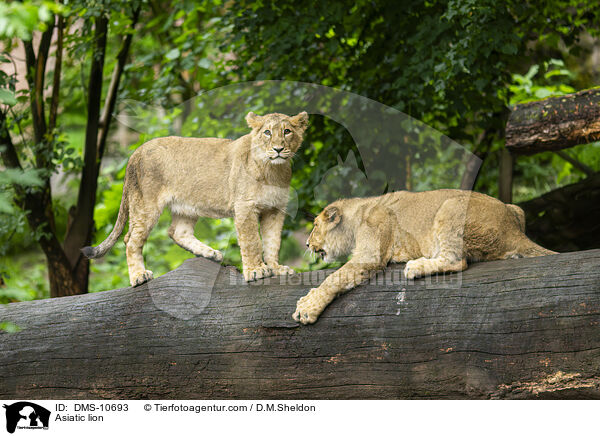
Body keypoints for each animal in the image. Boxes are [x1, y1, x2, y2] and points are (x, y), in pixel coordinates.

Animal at [296, 190, 556, 324]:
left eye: (315, 226)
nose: (307, 244)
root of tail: (514, 232)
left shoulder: (370, 255)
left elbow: (334, 278)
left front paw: (308, 307)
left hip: (451, 206)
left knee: (457, 261)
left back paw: (417, 266)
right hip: (517, 210)